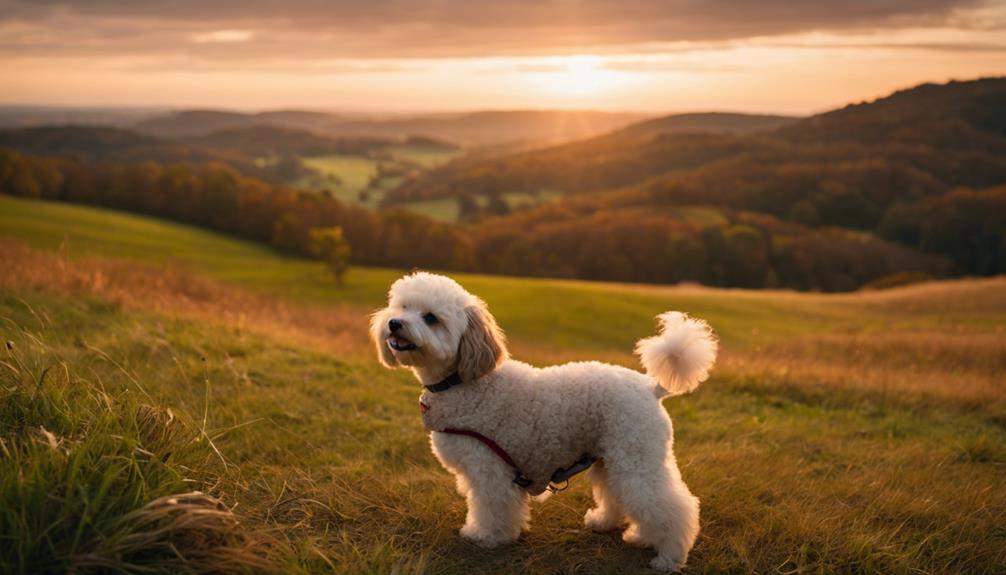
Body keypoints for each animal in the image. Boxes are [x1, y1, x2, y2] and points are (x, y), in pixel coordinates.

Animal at [372, 273, 716, 570]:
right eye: (401, 307)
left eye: (430, 318)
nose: (394, 323)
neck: (460, 381)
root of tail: (651, 387)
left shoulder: (489, 469)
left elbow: (491, 507)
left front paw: (485, 537)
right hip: (613, 458)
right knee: (623, 496)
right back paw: (624, 530)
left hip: (636, 457)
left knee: (672, 506)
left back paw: (669, 557)